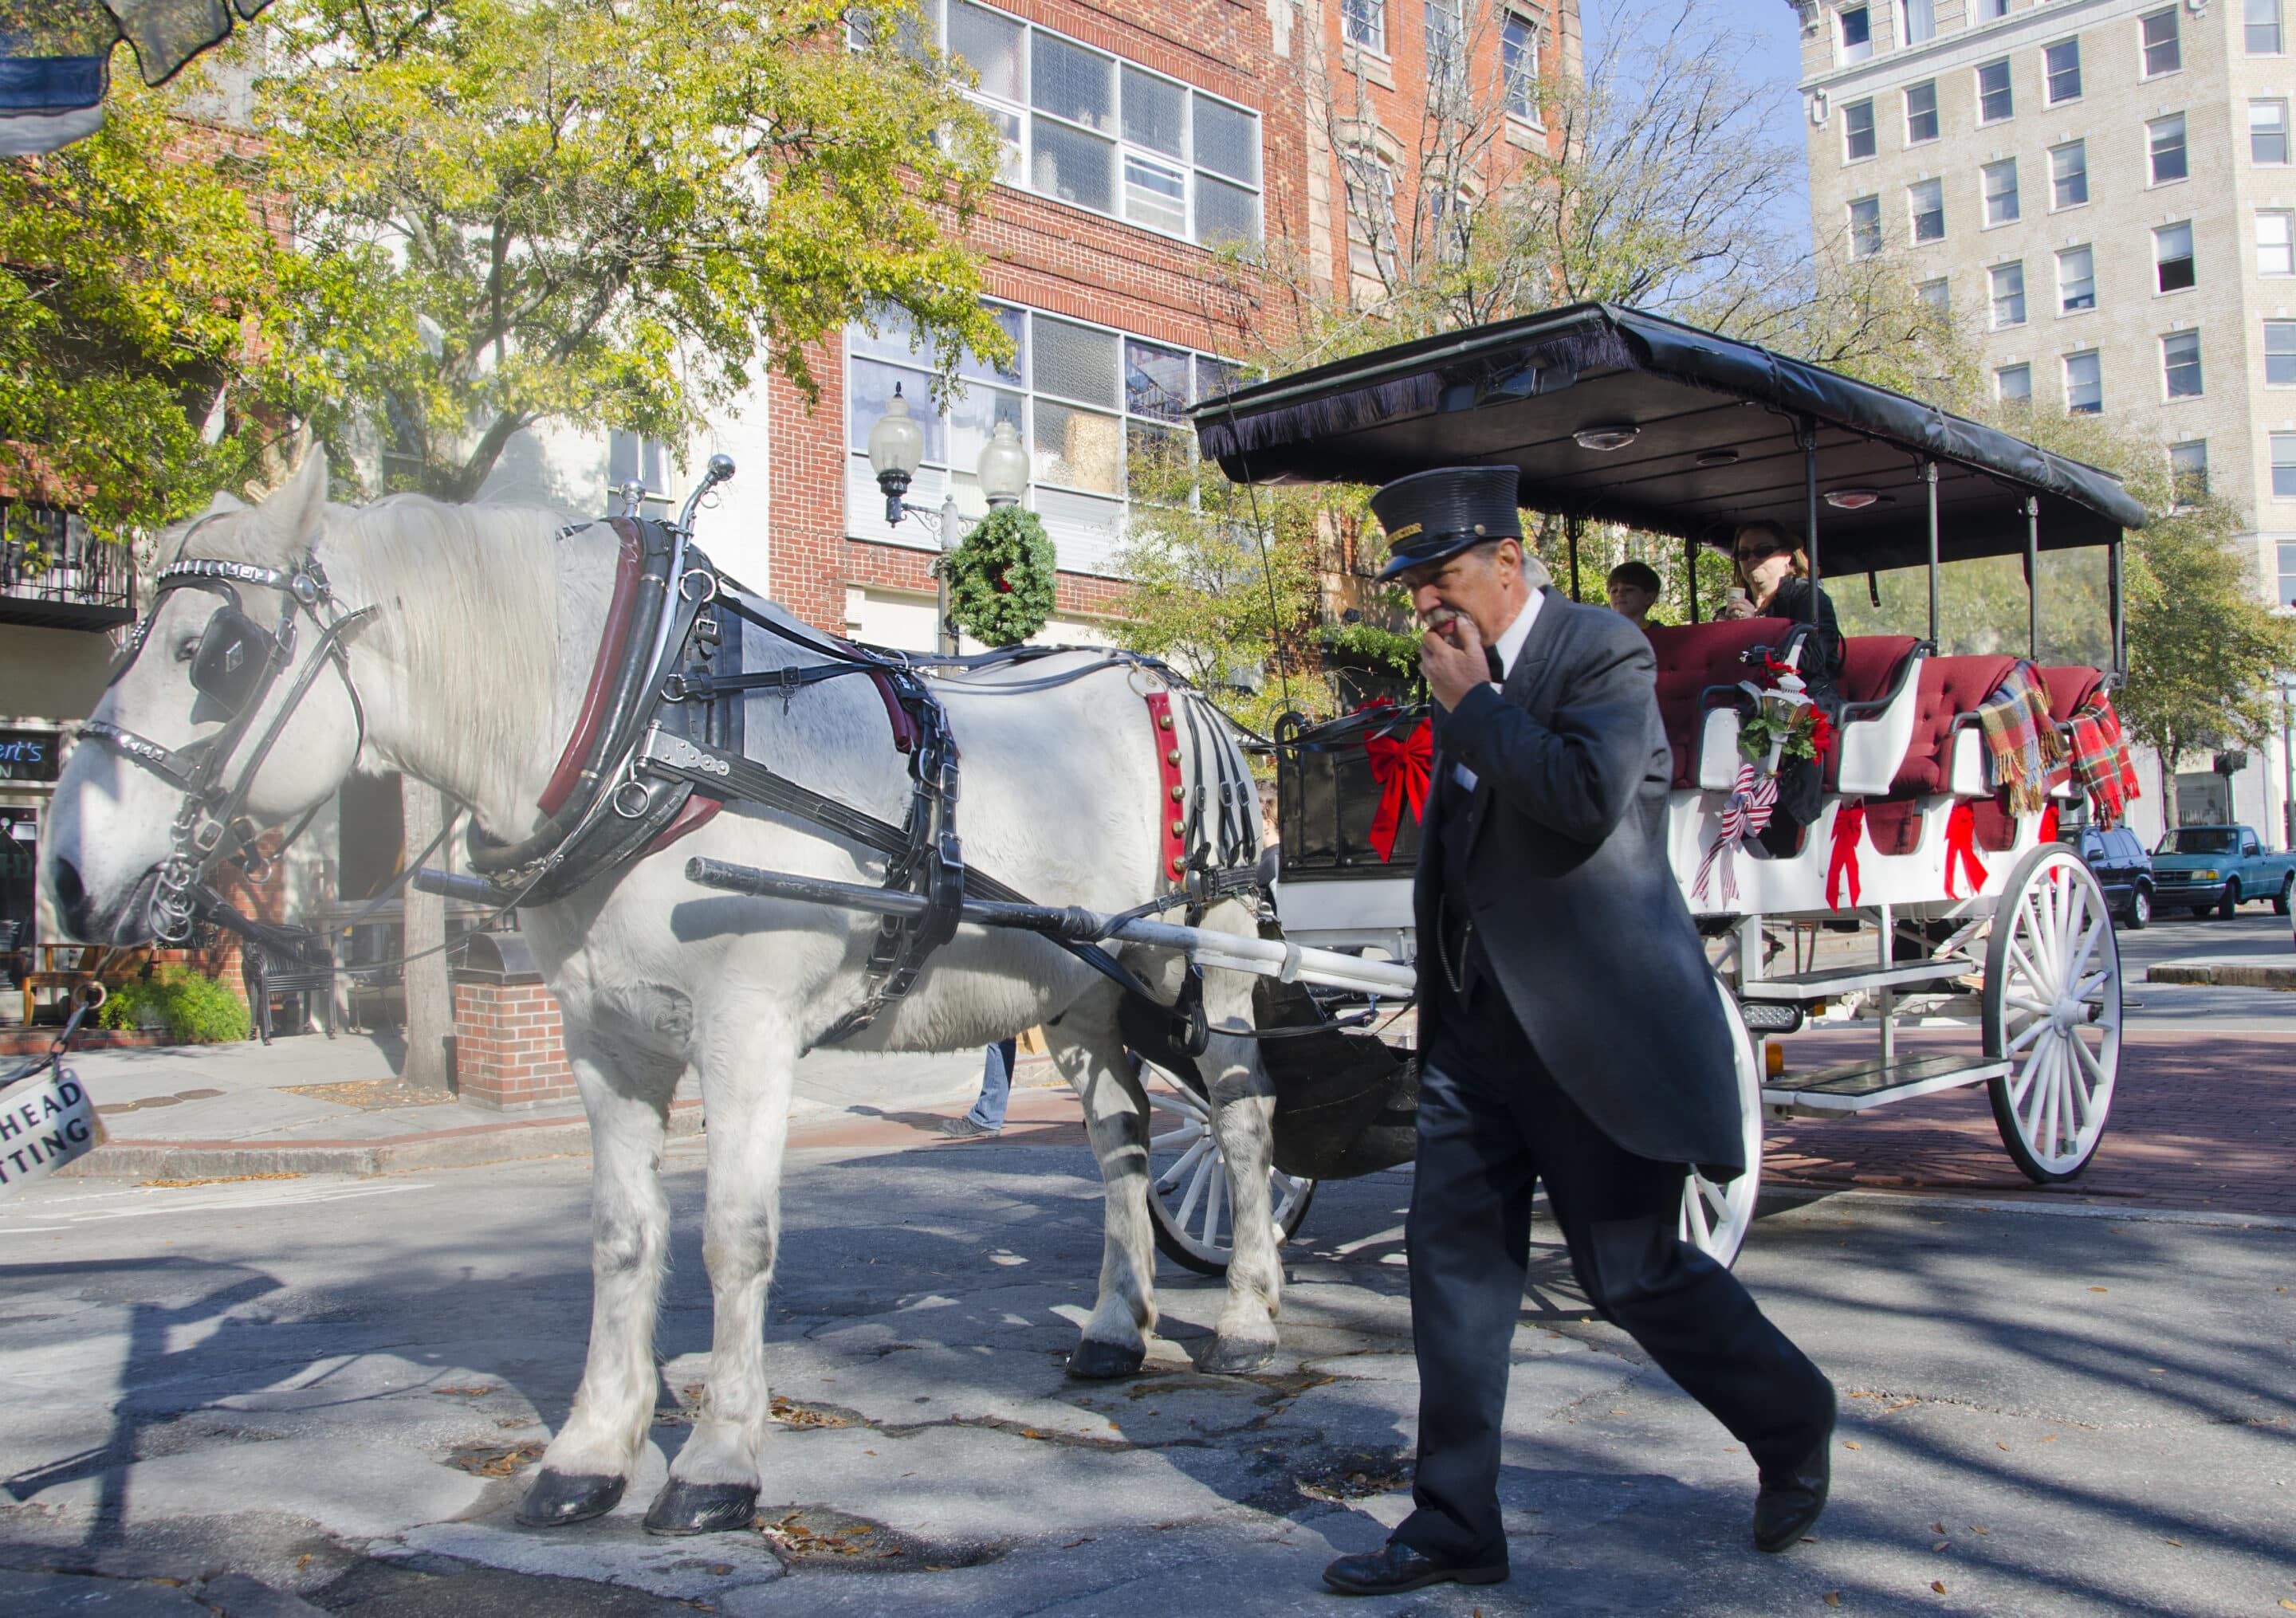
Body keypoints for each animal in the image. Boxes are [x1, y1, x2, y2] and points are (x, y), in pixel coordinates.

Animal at [45, 447, 1295, 1533]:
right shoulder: (605, 1037)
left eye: (221, 653)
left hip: (1219, 950)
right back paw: (1116, 1324)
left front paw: (718, 1460)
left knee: (1239, 1118)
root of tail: (1173, 686)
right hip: (1081, 989)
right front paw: (592, 1450)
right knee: (1121, 1142)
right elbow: (620, 1236)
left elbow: (733, 1236)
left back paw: (1248, 1312)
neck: (653, 727)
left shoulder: (746, 1030)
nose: (62, 875)